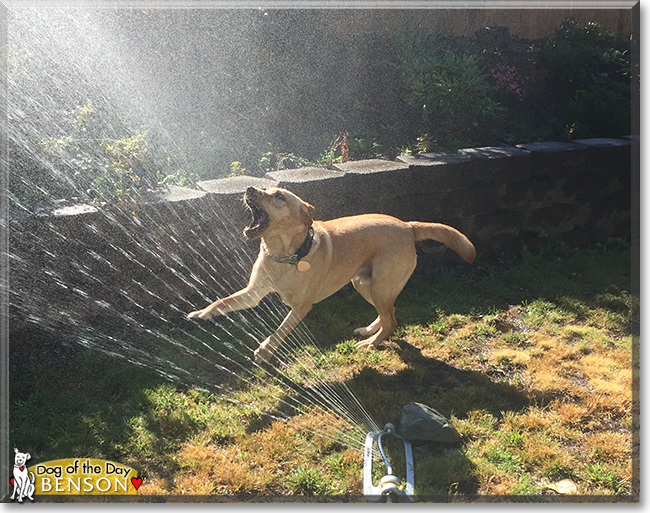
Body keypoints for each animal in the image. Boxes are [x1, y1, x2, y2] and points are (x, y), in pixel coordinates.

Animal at [185, 186, 474, 362]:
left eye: (279, 197)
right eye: (265, 189)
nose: (249, 189)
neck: (285, 255)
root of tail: (407, 226)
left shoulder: (301, 307)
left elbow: (279, 331)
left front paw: (265, 351)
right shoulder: (253, 293)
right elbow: (223, 302)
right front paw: (201, 313)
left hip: (380, 285)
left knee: (391, 320)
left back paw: (371, 344)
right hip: (364, 283)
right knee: (389, 314)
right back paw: (369, 331)